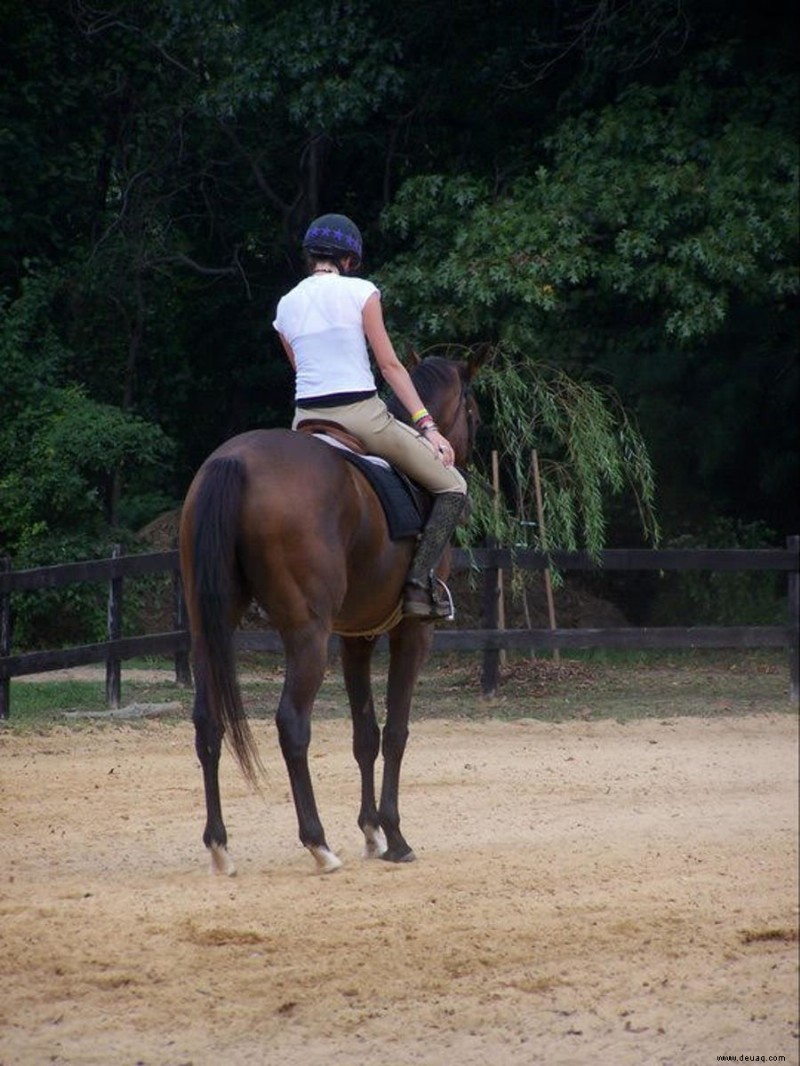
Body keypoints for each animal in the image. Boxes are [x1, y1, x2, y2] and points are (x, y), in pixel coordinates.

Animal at [180, 353, 482, 878]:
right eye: (473, 411)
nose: (455, 453)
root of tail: (233, 460)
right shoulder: (411, 633)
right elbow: (396, 732)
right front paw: (395, 836)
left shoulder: (356, 636)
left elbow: (366, 734)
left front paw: (372, 832)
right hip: (307, 637)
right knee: (292, 724)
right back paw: (317, 844)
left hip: (208, 629)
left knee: (208, 722)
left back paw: (219, 846)